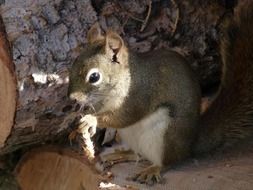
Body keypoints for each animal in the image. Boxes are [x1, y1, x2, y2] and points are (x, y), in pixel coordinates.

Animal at [67, 0, 253, 185]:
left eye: (94, 76)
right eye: (74, 64)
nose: (72, 98)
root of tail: (190, 145)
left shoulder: (140, 95)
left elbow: (125, 117)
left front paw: (91, 119)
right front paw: (76, 119)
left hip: (166, 135)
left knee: (167, 161)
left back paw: (153, 169)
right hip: (131, 136)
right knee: (138, 154)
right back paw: (120, 154)